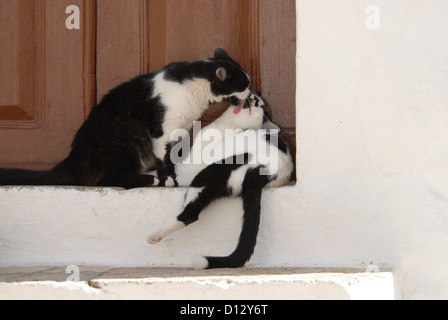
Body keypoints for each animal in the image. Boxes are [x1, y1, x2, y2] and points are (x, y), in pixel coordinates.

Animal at [0, 47, 252, 188]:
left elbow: (171, 156)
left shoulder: (177, 131)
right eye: (244, 86)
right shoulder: (161, 130)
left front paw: (173, 177)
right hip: (124, 136)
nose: (252, 93)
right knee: (109, 180)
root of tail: (74, 158)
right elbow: (163, 158)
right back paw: (149, 180)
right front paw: (167, 180)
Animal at [147, 93, 294, 270]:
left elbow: (174, 170)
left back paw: (155, 235)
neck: (228, 125)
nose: (254, 99)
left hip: (212, 172)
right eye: (257, 99)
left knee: (191, 213)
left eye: (261, 108)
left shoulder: (193, 165)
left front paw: (160, 177)